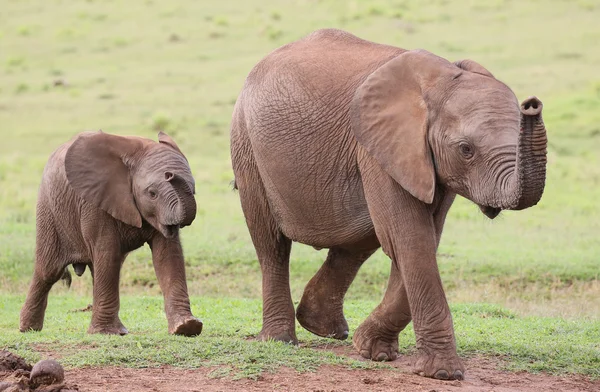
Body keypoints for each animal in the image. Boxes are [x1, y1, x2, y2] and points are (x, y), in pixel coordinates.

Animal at [19, 130, 203, 336]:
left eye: (194, 190)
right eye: (152, 193)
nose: (170, 174)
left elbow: (168, 256)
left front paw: (186, 327)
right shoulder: (95, 201)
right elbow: (108, 253)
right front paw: (106, 333)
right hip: (49, 210)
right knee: (49, 271)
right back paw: (28, 329)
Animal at [231, 29, 548, 382]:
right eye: (466, 149)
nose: (532, 105)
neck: (440, 81)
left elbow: (421, 239)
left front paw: (372, 351)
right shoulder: (380, 147)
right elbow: (410, 239)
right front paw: (444, 374)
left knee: (358, 239)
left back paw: (324, 328)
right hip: (246, 145)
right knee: (271, 243)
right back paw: (281, 340)